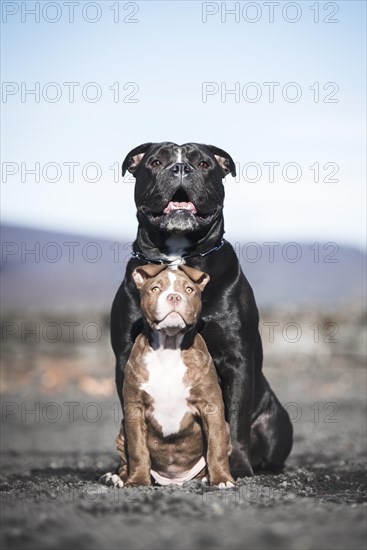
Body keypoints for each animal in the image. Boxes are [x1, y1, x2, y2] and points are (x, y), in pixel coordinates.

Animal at [100, 266, 236, 490]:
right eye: (155, 288)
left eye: (189, 289)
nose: (174, 296)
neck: (169, 347)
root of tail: (174, 481)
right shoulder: (135, 409)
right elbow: (137, 450)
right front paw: (137, 481)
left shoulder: (211, 406)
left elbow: (216, 446)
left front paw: (222, 480)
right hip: (121, 433)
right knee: (125, 459)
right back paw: (118, 477)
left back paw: (206, 477)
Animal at [110, 142, 292, 478]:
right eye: (155, 162)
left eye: (205, 164)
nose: (181, 168)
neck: (178, 255)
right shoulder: (126, 357)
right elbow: (132, 425)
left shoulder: (236, 357)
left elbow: (235, 419)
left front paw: (237, 467)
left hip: (277, 421)